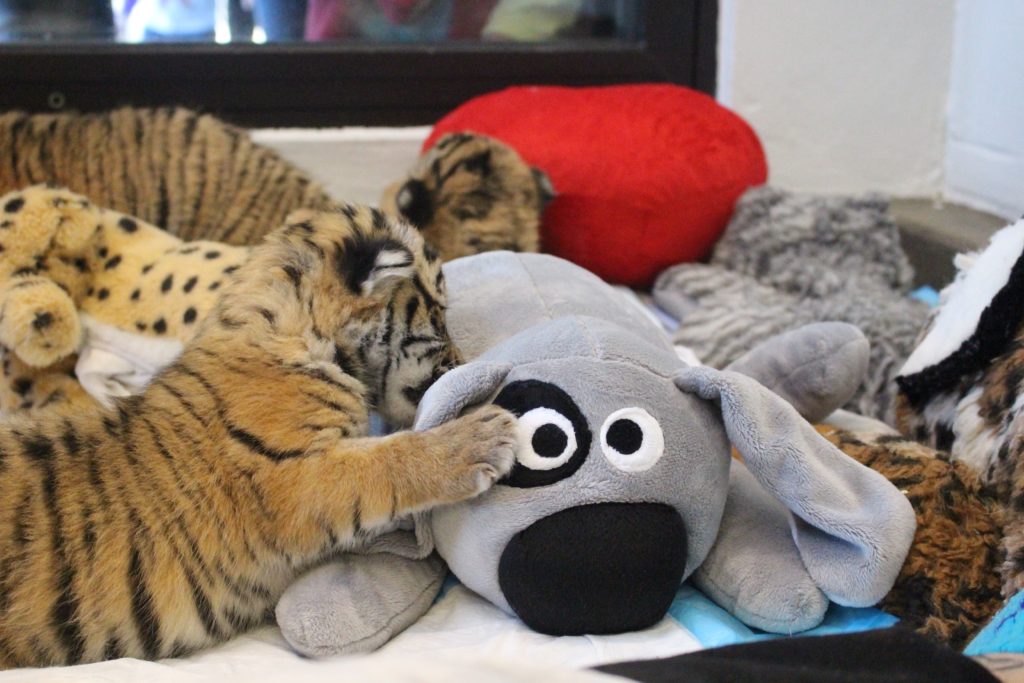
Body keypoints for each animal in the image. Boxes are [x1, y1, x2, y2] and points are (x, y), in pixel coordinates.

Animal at [0, 204, 519, 669]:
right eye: (438, 313)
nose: (464, 361)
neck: (294, 329)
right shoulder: (285, 478)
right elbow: (384, 463)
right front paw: (483, 437)